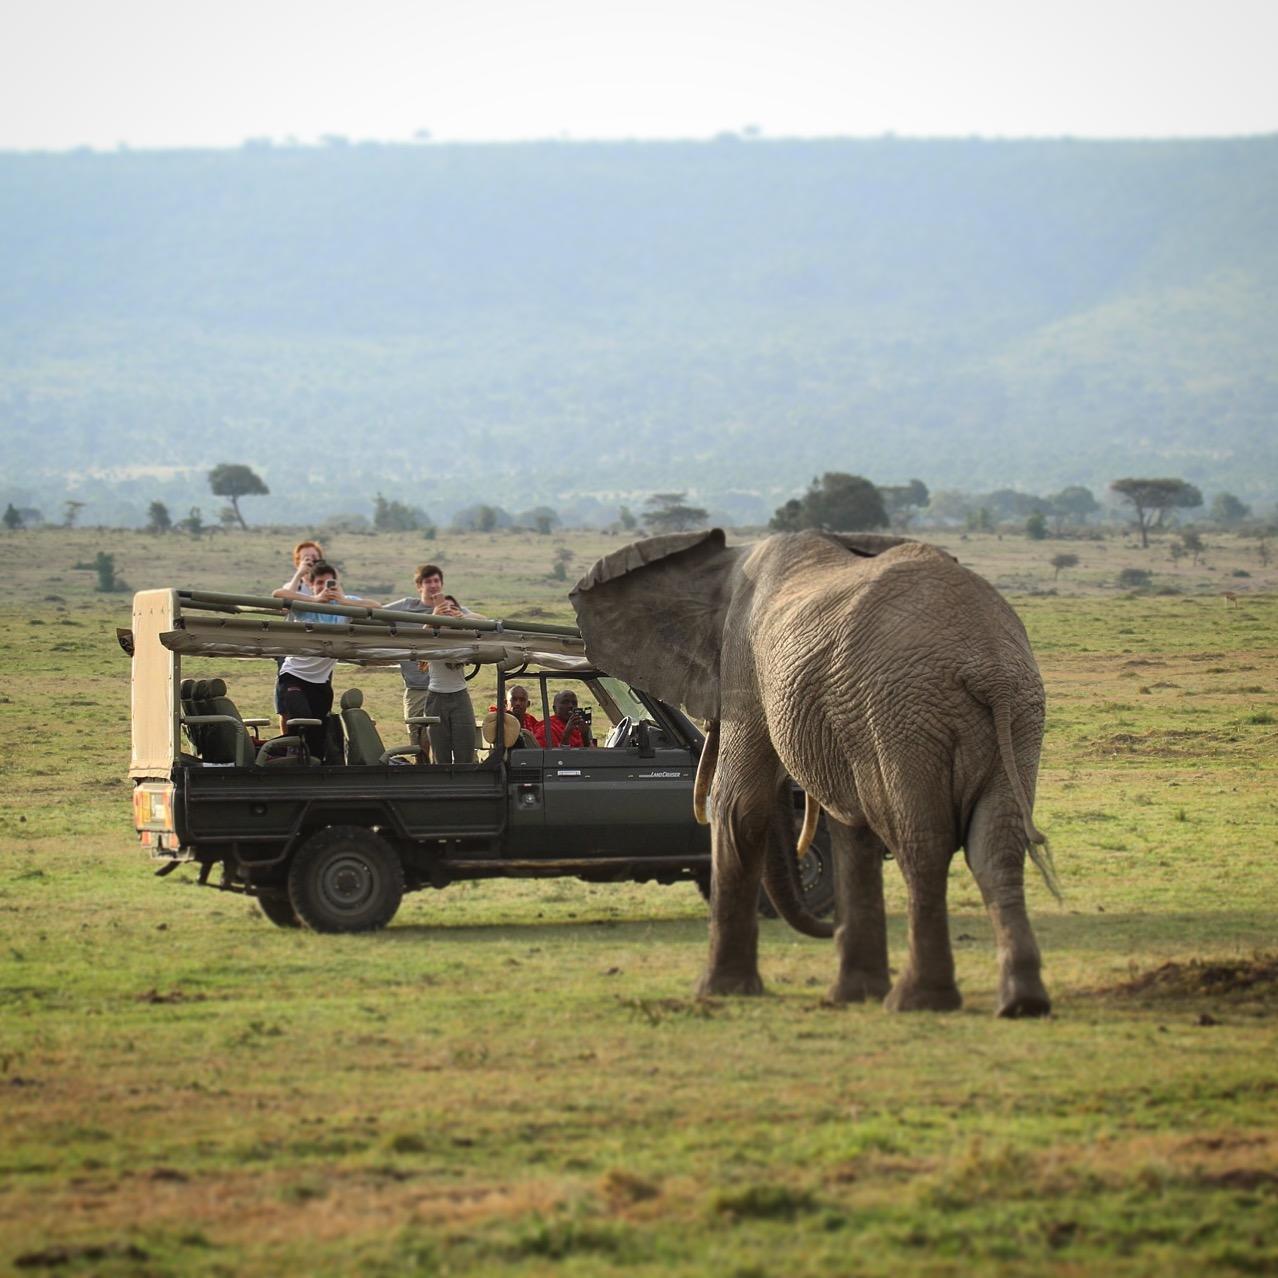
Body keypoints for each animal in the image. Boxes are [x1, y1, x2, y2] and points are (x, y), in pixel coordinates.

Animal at [570, 528, 1057, 1017]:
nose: (826, 927)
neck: (726, 563)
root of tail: (988, 665)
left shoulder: (746, 665)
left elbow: (738, 804)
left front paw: (720, 990)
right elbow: (850, 828)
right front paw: (852, 994)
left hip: (906, 714)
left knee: (922, 842)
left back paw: (917, 1000)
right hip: (1015, 713)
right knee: (995, 846)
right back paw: (1021, 1002)